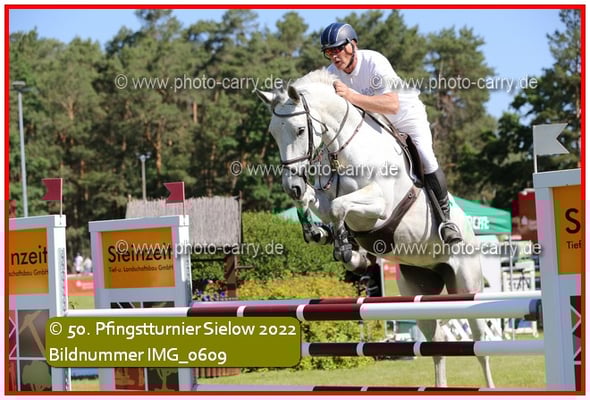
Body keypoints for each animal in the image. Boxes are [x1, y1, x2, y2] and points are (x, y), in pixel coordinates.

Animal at [257, 69, 494, 388]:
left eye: (299, 130)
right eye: (273, 133)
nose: (290, 185)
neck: (347, 151)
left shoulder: (379, 206)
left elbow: (340, 207)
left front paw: (349, 252)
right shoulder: (327, 199)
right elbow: (322, 204)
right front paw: (322, 233)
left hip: (467, 283)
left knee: (480, 342)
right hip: (417, 289)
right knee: (438, 341)